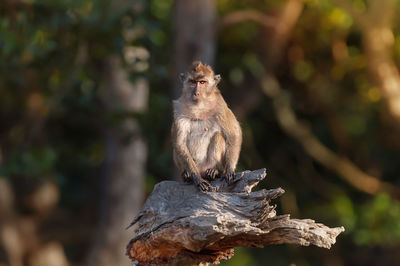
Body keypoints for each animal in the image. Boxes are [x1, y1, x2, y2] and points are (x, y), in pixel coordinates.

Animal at [171, 61, 242, 192]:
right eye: (193, 82)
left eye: (202, 82)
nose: (196, 92)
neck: (199, 106)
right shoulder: (179, 109)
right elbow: (179, 143)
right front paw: (196, 178)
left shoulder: (221, 106)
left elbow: (234, 134)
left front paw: (229, 170)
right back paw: (187, 175)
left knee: (218, 137)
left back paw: (214, 172)